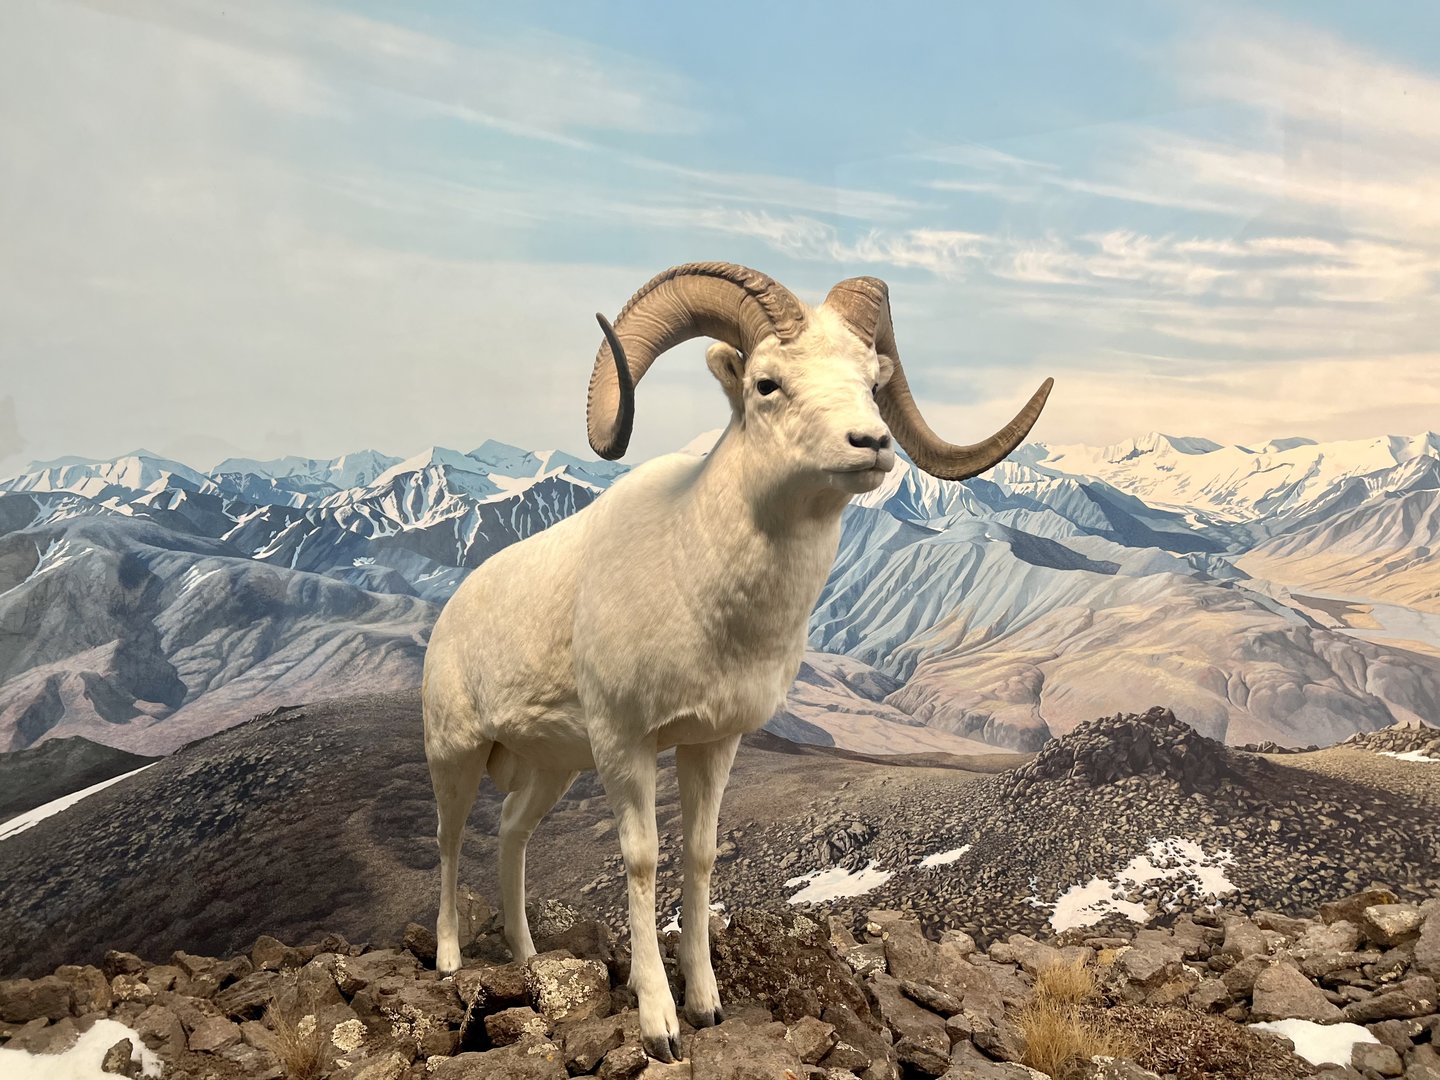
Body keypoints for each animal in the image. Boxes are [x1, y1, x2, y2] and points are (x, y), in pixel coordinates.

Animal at [422, 262, 1052, 1061]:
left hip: (552, 768)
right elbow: (642, 860)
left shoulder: (712, 744)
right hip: (457, 755)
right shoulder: (626, 746)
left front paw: (706, 1005)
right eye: (767, 383)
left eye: (870, 379)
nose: (872, 443)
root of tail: (452, 609)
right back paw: (448, 960)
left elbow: (697, 856)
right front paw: (660, 1026)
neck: (695, 578)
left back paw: (530, 957)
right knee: (447, 842)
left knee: (509, 833)